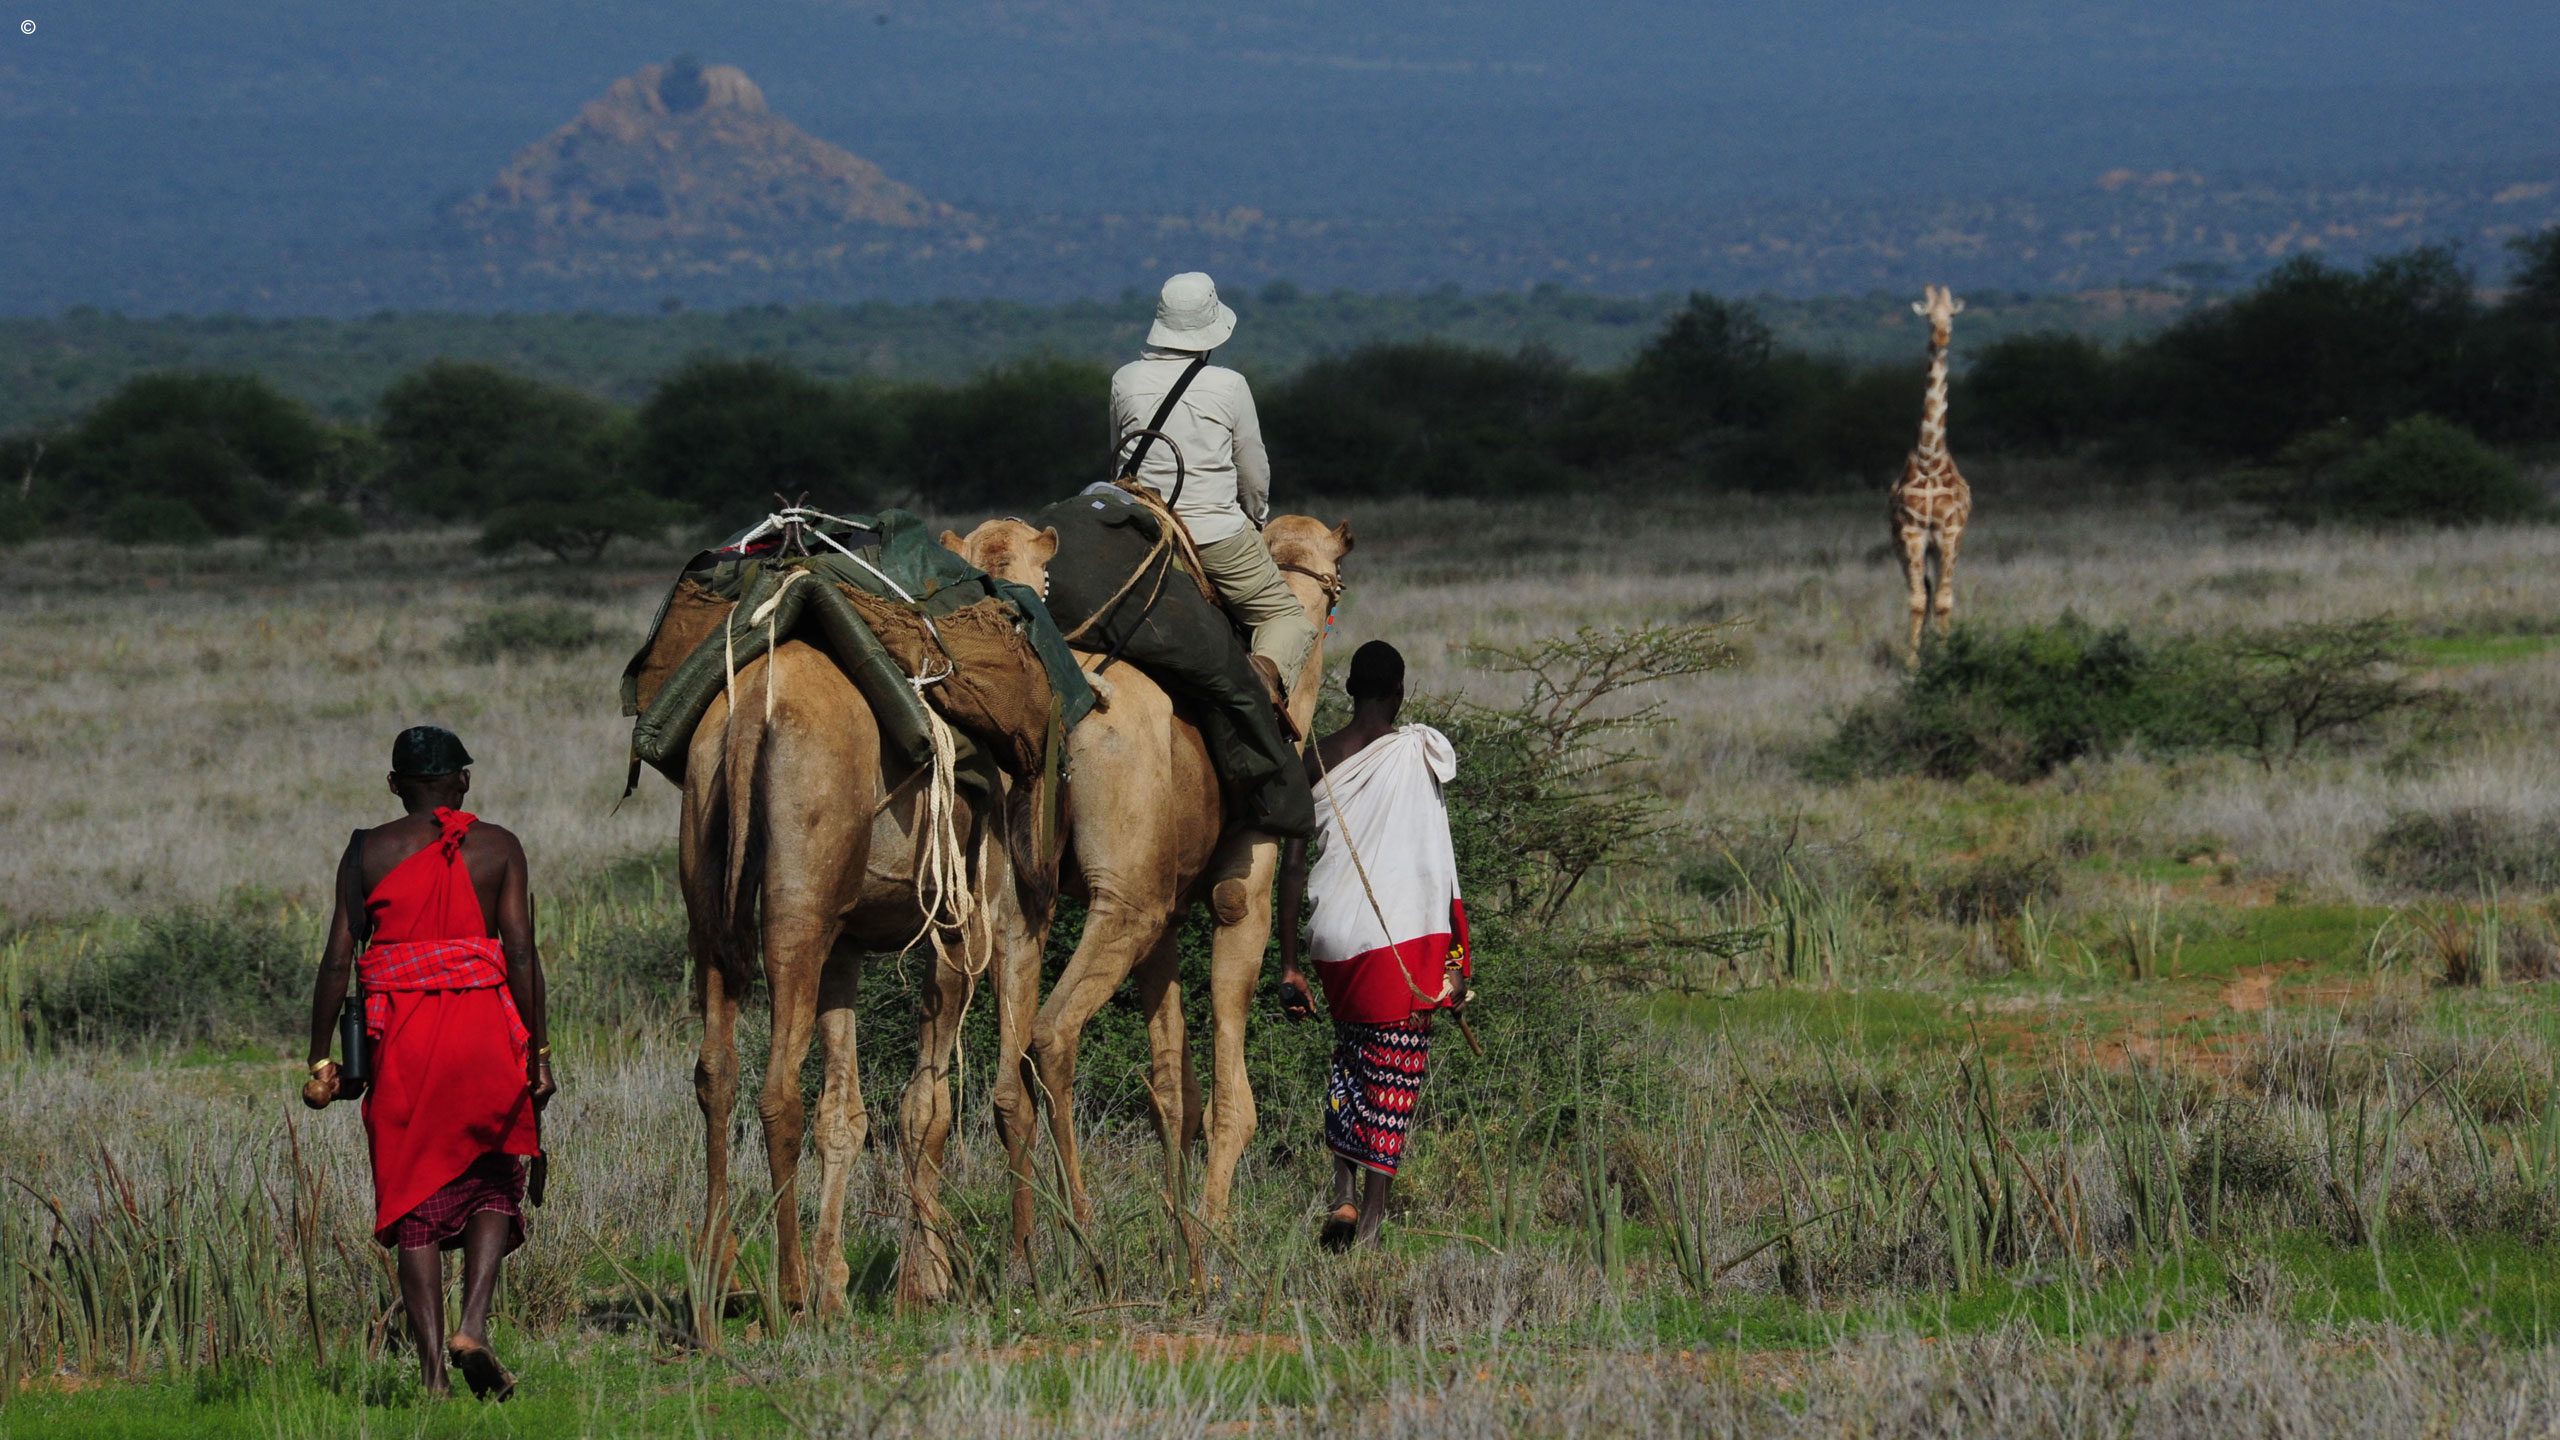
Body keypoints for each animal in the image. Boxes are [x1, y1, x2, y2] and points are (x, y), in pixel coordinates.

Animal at [679, 640, 1046, 1315]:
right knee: (778, 1093)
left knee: (716, 1069)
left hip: (710, 891)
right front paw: (955, 1278)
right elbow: (963, 1103)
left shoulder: (848, 943)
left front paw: (841, 1284)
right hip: (801, 905)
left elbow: (846, 1113)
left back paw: (721, 1276)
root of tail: (749, 715)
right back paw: (790, 1288)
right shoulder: (978, 917)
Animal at [945, 513, 1349, 1271]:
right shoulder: (1239, 895)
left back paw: (1025, 1254)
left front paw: (1181, 1237)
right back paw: (1085, 1235)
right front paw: (1215, 1239)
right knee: (1052, 1034)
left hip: (1020, 902)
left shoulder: (1166, 921)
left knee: (1009, 1080)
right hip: (1121, 905)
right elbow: (1228, 1098)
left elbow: (1172, 1089)